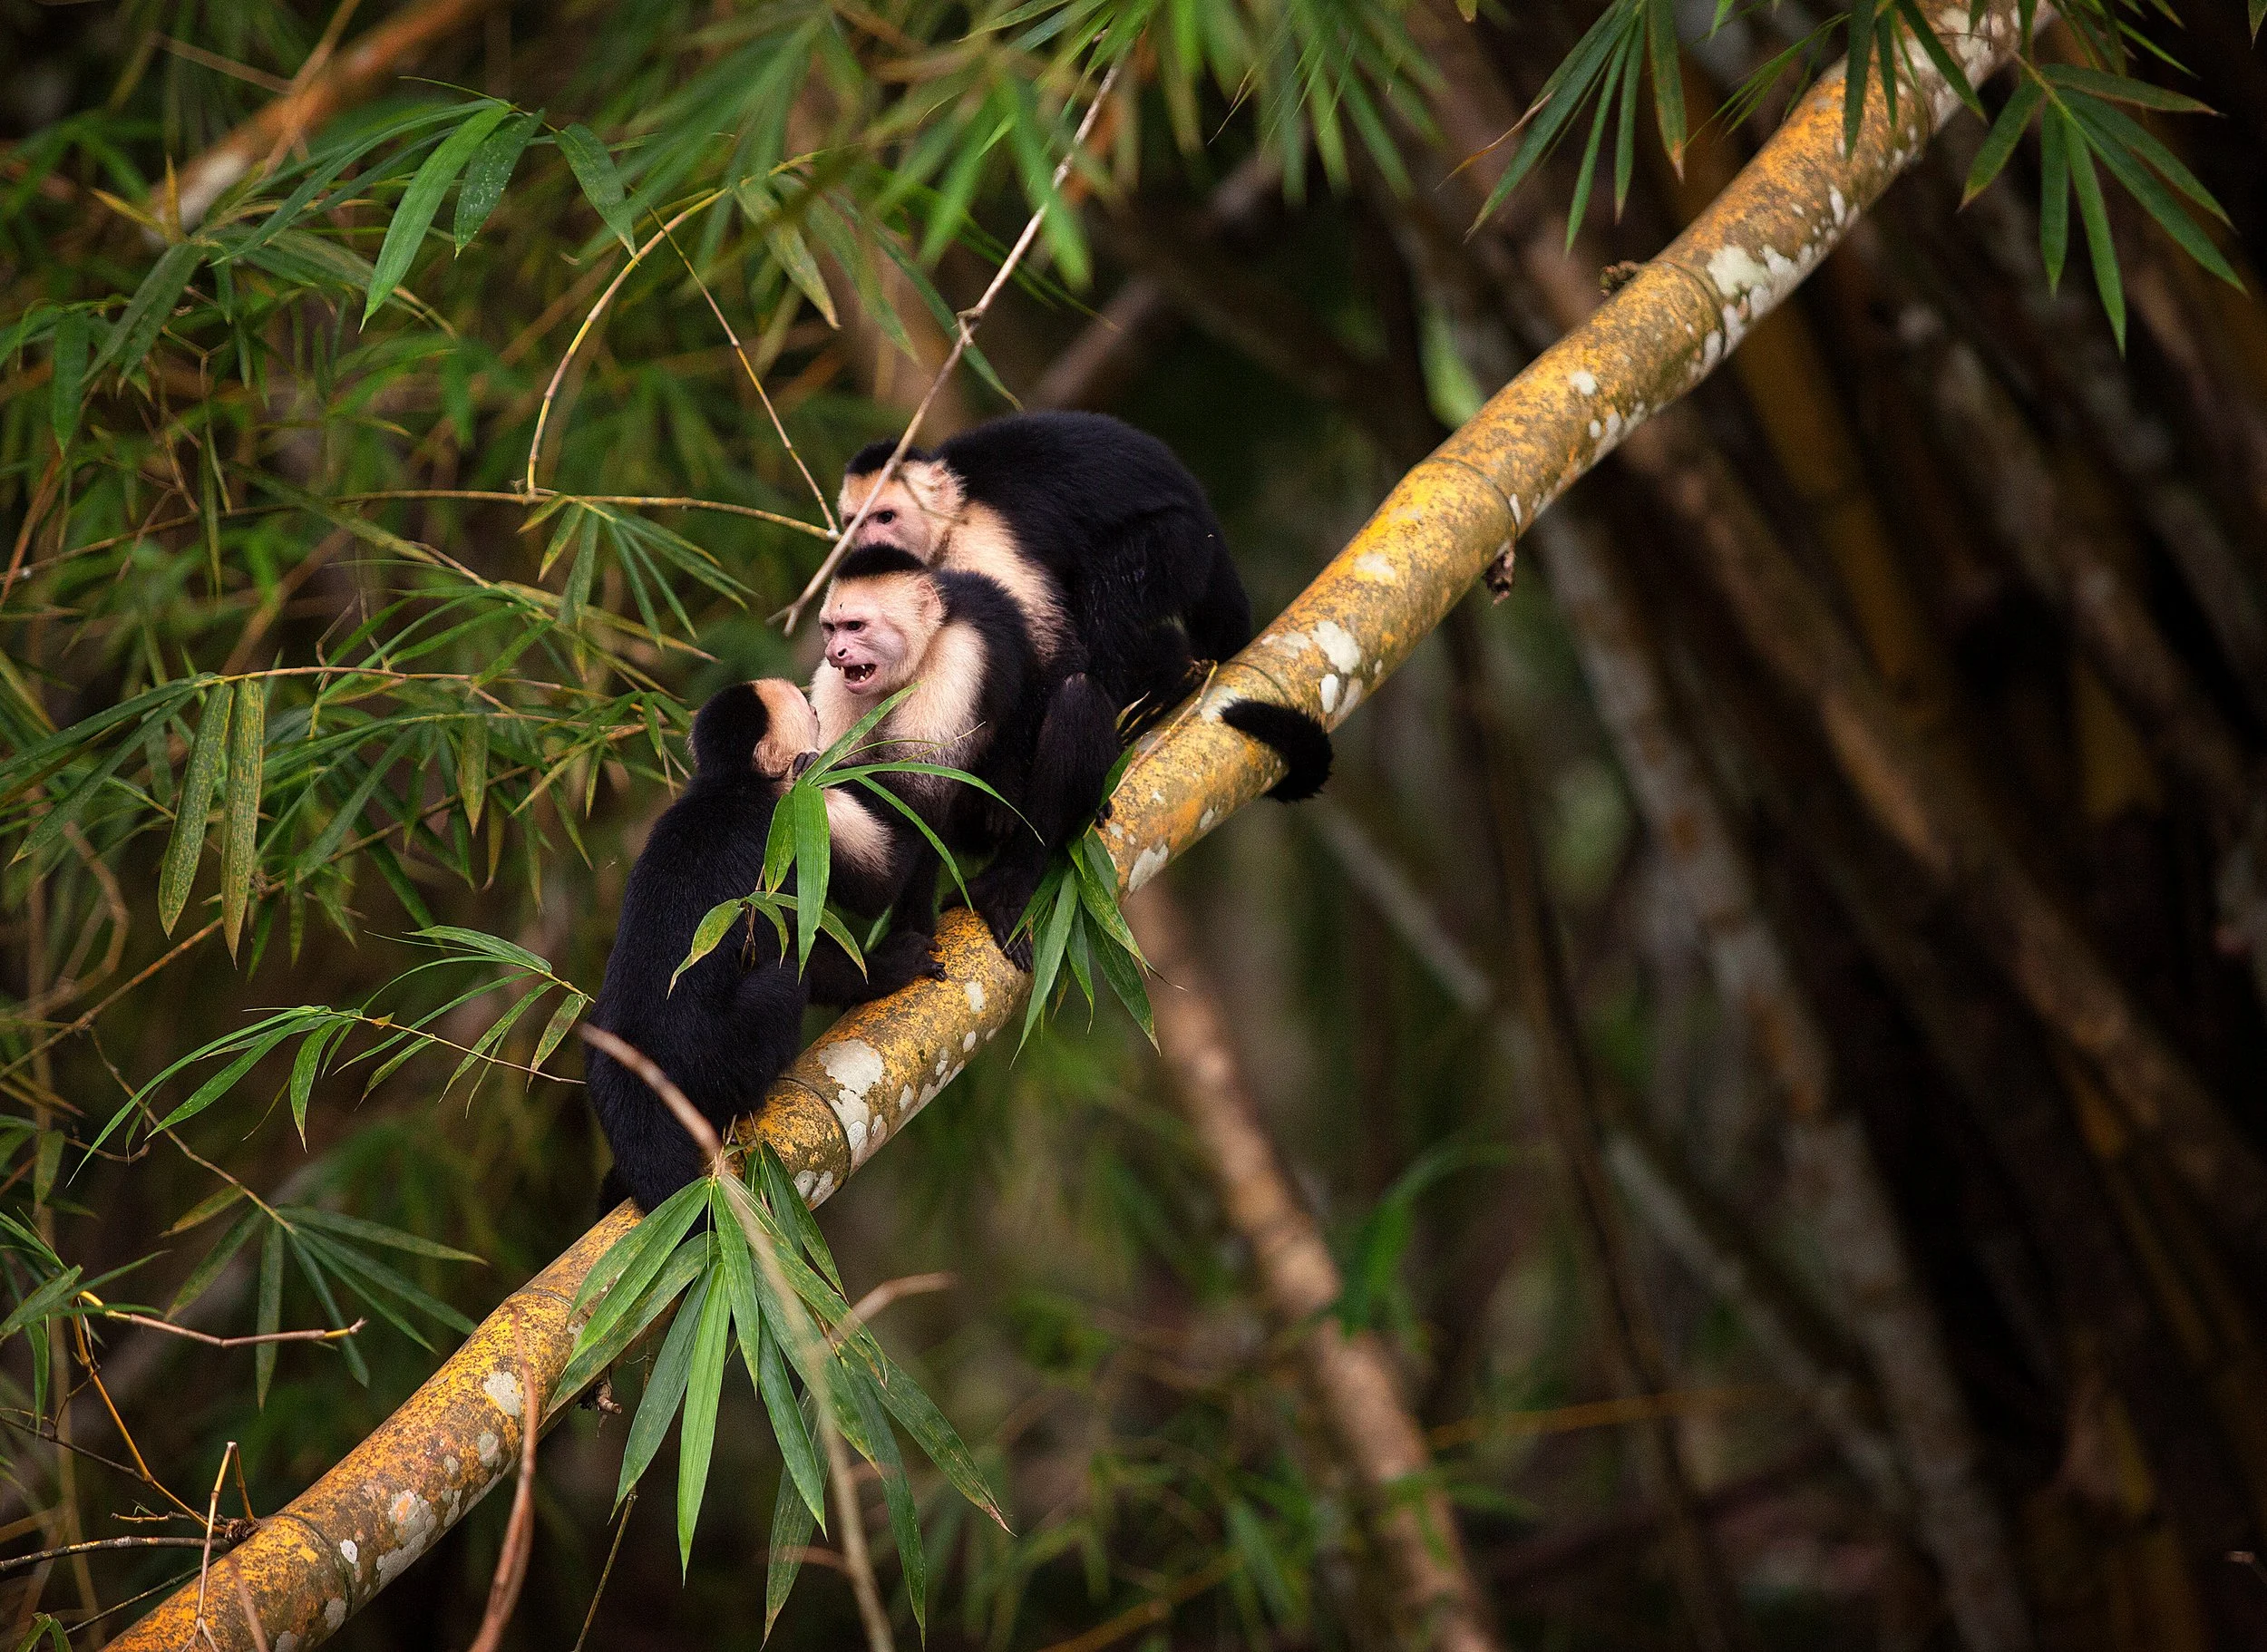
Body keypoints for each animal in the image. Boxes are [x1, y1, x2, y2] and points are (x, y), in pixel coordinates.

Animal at [587, 678, 941, 1214]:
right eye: (810, 712)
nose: (818, 713)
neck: (737, 785)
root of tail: (638, 1070)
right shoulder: (796, 812)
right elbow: (839, 917)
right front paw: (889, 970)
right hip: (716, 1061)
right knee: (782, 982)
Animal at [811, 547, 1118, 966]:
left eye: (855, 626)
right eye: (831, 628)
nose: (834, 652)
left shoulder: (957, 656)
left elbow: (916, 789)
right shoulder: (834, 684)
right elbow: (884, 850)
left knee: (1076, 694)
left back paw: (1007, 886)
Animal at [838, 409, 1331, 802]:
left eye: (886, 518)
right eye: (854, 524)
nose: (868, 543)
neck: (953, 513)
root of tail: (1209, 520)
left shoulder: (980, 541)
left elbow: (1052, 654)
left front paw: (1008, 789)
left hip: (1182, 546)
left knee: (1108, 592)